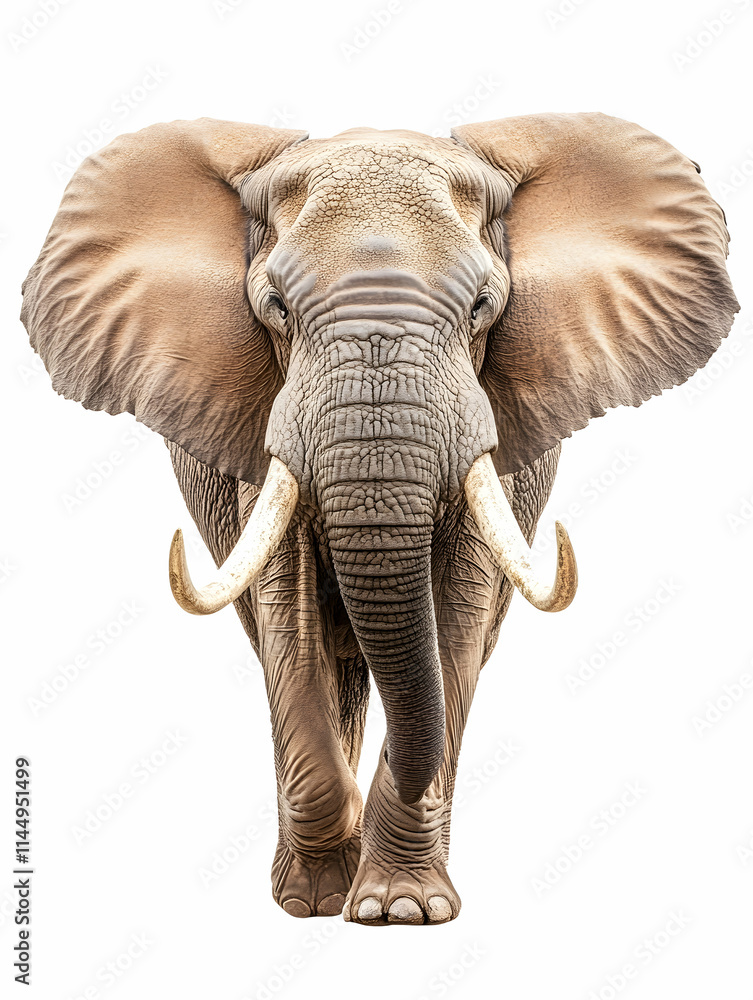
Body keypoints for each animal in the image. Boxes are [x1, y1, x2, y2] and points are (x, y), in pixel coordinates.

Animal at [21, 113, 738, 925]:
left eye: (482, 307)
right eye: (276, 308)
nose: (352, 892)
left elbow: (456, 619)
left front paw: (400, 910)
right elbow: (288, 614)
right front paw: (315, 900)